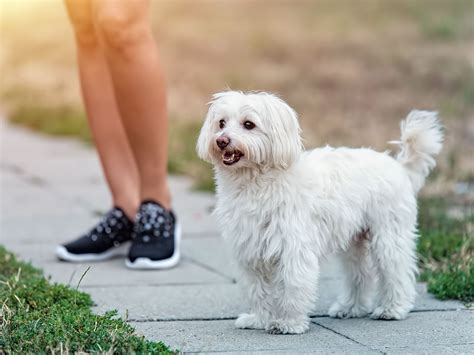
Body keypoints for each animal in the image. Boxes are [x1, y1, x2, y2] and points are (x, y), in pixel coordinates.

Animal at [195, 91, 440, 334]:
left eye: (249, 124)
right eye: (221, 123)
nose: (221, 140)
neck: (255, 182)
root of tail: (399, 166)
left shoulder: (294, 248)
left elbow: (293, 285)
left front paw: (289, 323)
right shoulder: (249, 251)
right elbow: (257, 290)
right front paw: (259, 319)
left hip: (388, 236)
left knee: (397, 272)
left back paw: (393, 309)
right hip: (354, 242)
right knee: (360, 274)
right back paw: (350, 308)